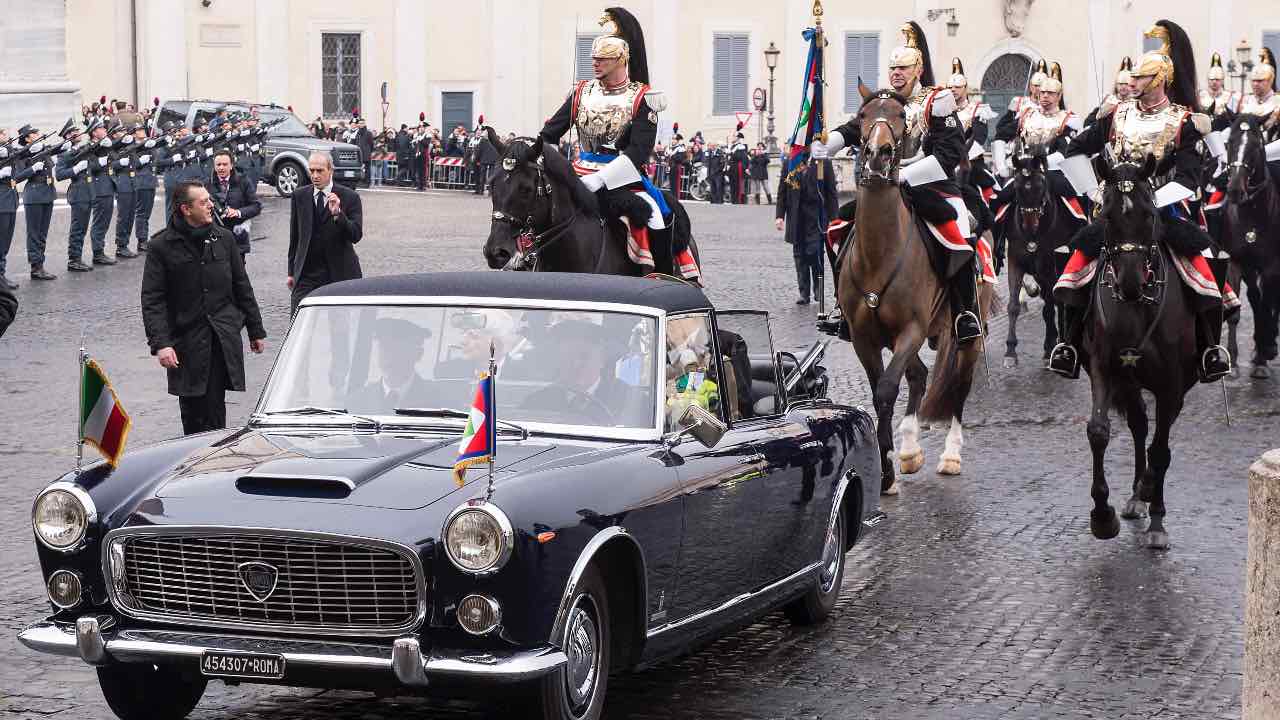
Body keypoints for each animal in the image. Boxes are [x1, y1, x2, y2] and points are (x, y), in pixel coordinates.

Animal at [844, 88, 993, 491]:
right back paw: (910, 449)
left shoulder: (911, 329)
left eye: (900, 116)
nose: (877, 154)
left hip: (966, 333)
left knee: (960, 383)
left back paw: (951, 455)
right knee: (919, 376)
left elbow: (885, 390)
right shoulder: (864, 337)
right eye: (862, 115)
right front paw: (890, 465)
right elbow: (882, 387)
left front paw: (885, 471)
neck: (880, 254)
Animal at [998, 139, 1070, 366]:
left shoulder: (1048, 266)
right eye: (1017, 187)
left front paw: (1050, 345)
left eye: (1040, 185)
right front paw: (1010, 351)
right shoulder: (1016, 260)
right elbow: (1012, 305)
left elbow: (1051, 304)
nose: (1029, 226)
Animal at [1080, 155, 1198, 548]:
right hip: (1131, 383)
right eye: (1107, 217)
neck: (1134, 308)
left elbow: (1160, 449)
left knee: (1159, 437)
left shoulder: (1172, 383)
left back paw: (1151, 503)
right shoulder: (1104, 368)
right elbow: (1099, 431)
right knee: (1139, 425)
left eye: (1149, 214)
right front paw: (1103, 515)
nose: (1130, 284)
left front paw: (1154, 508)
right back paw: (1135, 496)